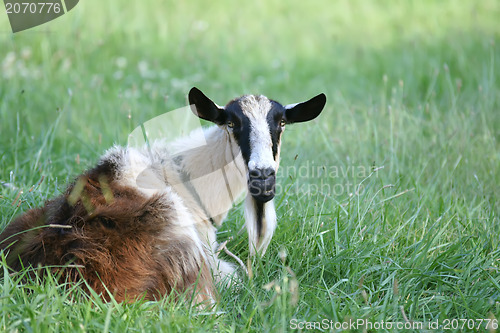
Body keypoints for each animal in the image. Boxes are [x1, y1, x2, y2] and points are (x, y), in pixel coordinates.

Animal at [0, 86, 326, 304]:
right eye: (232, 123)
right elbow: (236, 276)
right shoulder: (211, 261)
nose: (262, 177)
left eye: (281, 123)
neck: (180, 175)